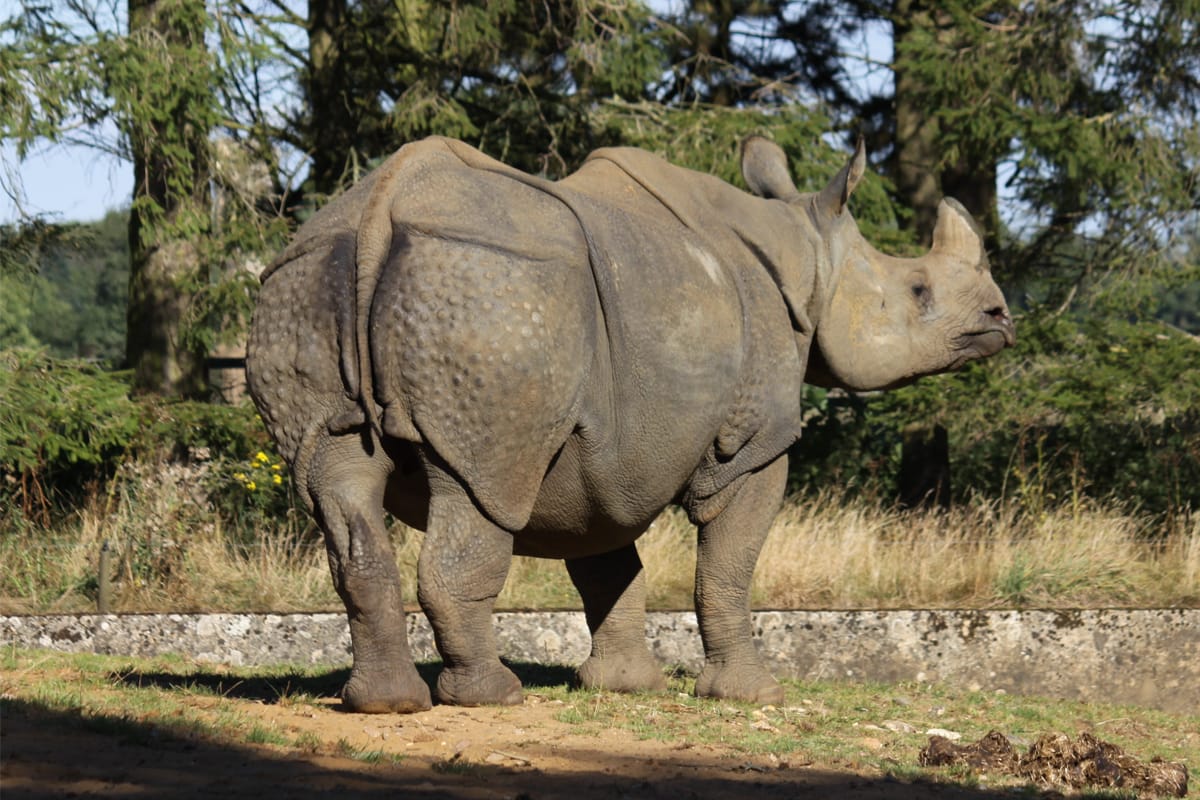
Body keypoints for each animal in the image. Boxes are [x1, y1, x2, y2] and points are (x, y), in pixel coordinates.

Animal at [250, 136, 1012, 714]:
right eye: (918, 292)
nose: (1001, 319)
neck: (810, 258)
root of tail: (381, 207)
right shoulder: (754, 442)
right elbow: (728, 564)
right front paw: (751, 695)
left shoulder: (600, 443)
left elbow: (608, 558)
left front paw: (624, 687)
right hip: (494, 298)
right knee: (478, 487)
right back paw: (492, 697)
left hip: (310, 280)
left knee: (338, 479)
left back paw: (385, 703)